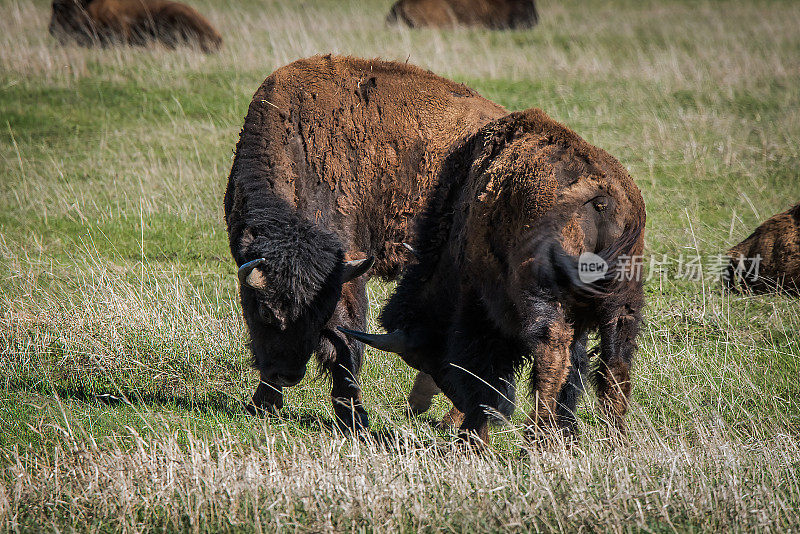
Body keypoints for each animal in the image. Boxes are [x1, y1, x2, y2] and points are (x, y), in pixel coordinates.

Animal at [223, 55, 506, 432]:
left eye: (318, 316)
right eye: (266, 310)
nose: (289, 374)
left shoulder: (347, 271)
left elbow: (348, 342)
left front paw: (354, 418)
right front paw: (263, 405)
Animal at [340, 109, 648, 444]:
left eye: (426, 355)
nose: (418, 406)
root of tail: (602, 197)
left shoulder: (478, 310)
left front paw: (474, 436)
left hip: (540, 297)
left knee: (551, 352)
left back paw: (532, 440)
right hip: (622, 302)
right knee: (615, 361)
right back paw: (614, 438)